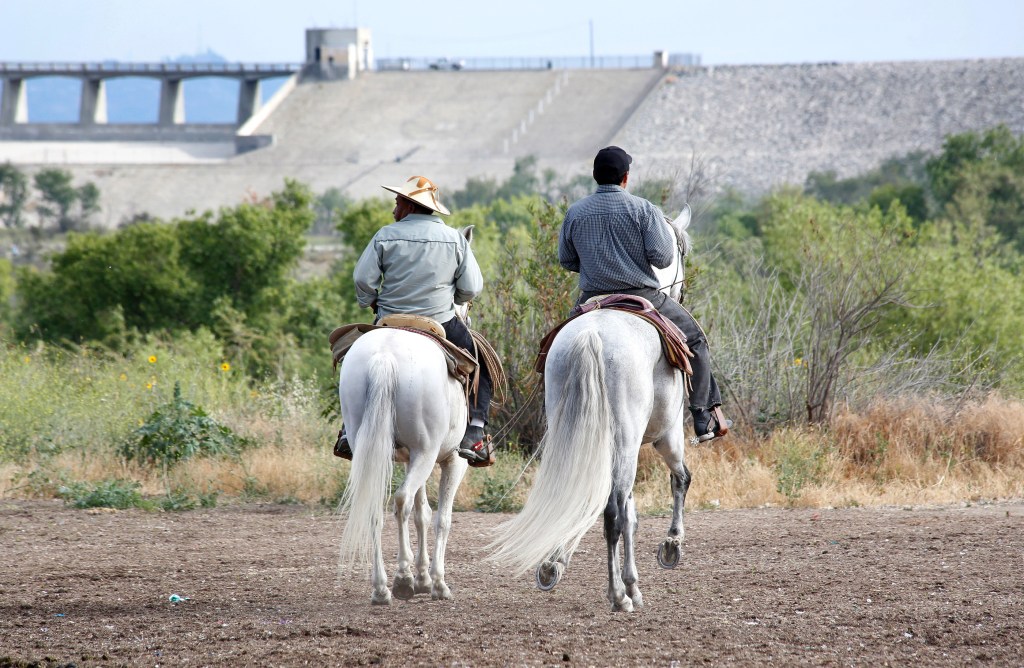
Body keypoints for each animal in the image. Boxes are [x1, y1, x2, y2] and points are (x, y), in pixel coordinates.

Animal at [487, 205, 696, 614]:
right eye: (680, 252)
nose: (681, 289)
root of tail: (592, 337)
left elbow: (630, 513)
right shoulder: (667, 436)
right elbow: (679, 480)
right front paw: (668, 549)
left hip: (574, 434)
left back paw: (556, 564)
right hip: (628, 442)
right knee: (612, 511)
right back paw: (617, 596)